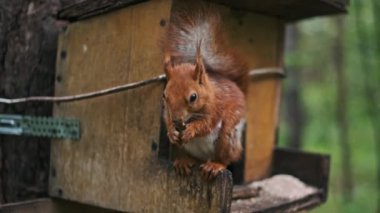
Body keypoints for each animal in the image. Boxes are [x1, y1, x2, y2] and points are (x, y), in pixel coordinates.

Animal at [161, 5, 248, 180]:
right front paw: (171, 132)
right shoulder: (167, 112)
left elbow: (207, 124)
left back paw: (215, 165)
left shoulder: (215, 107)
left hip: (227, 137)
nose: (177, 120)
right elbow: (167, 119)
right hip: (183, 148)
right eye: (164, 96)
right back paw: (184, 162)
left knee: (226, 158)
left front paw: (192, 130)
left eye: (193, 97)